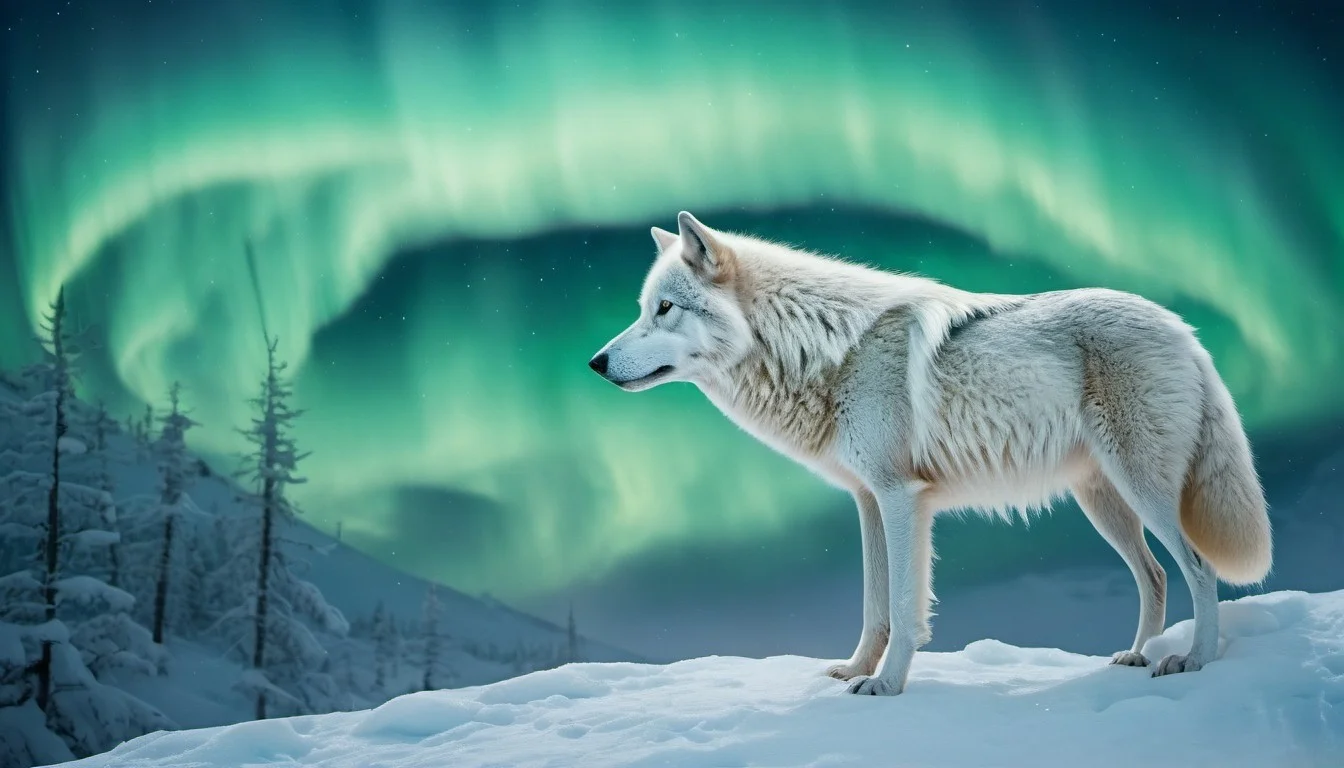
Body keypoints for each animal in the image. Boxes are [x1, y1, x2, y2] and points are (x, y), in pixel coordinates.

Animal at [588, 211, 1272, 696]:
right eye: (642, 309)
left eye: (665, 308)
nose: (595, 363)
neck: (825, 352)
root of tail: (1186, 332)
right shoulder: (867, 501)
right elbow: (873, 606)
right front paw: (852, 672)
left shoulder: (901, 498)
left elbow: (902, 605)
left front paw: (887, 685)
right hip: (1102, 503)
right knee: (1154, 574)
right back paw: (1136, 655)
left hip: (1144, 492)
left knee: (1199, 568)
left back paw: (1193, 660)